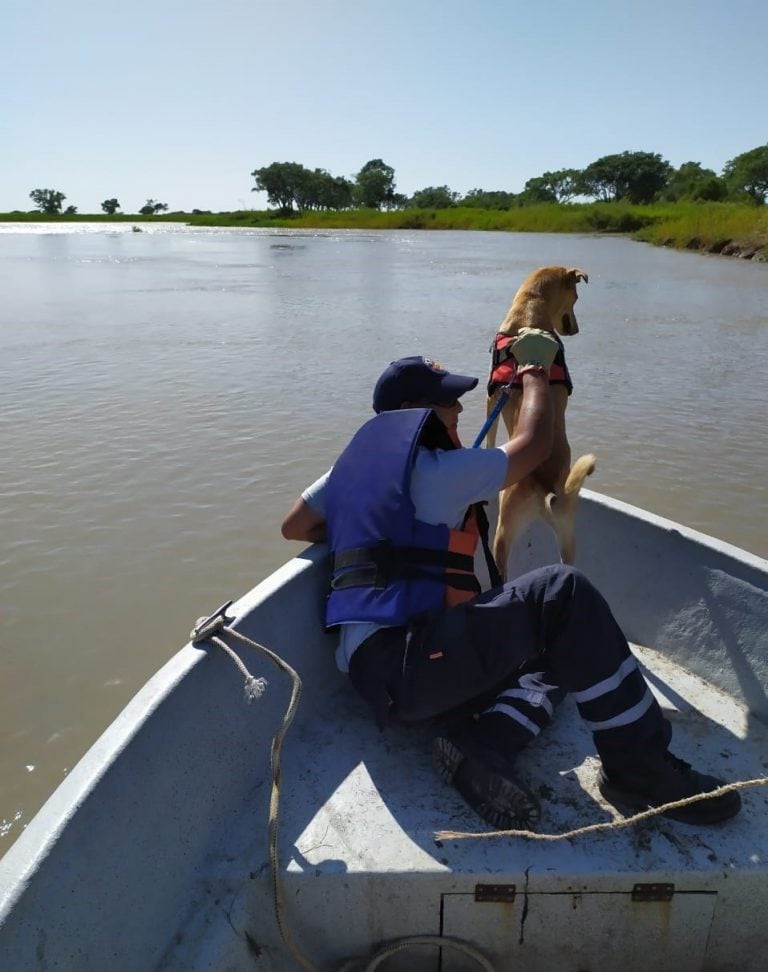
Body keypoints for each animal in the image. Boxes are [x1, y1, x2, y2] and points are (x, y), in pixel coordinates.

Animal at [486, 266, 600, 576]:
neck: (532, 308)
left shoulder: (492, 397)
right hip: (567, 532)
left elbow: (489, 436)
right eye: (577, 298)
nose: (576, 329)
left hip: (503, 531)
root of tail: (546, 488)